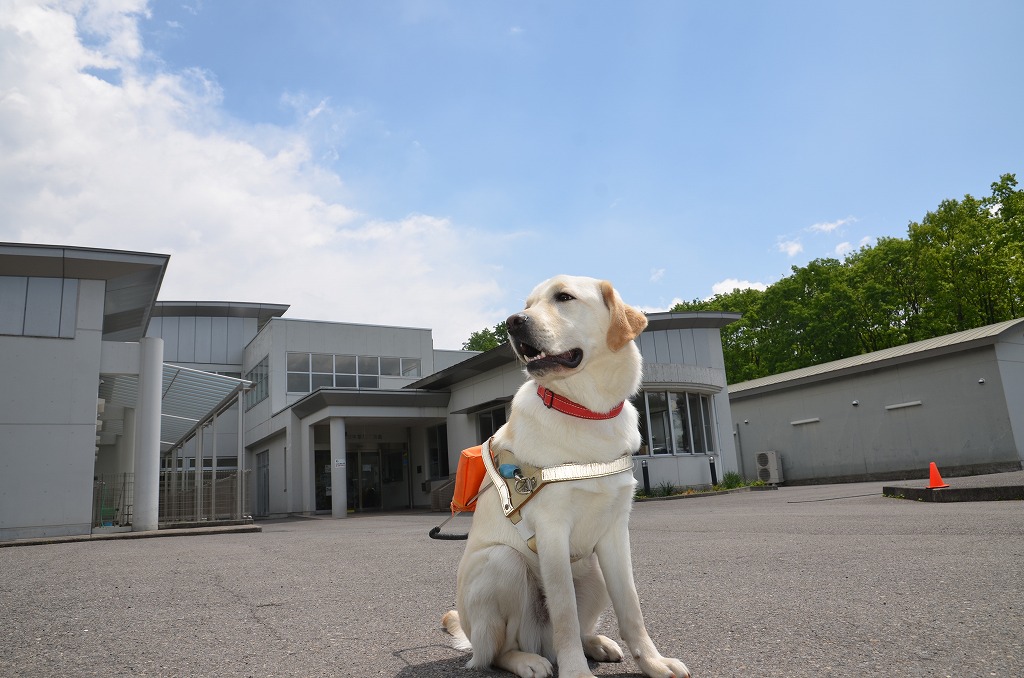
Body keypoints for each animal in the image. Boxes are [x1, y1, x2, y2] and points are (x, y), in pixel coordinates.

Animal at [440, 278, 688, 678]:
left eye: (564, 297)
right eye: (527, 305)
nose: (513, 321)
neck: (587, 412)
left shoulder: (615, 531)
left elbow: (631, 607)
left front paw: (653, 662)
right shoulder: (552, 529)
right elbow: (564, 614)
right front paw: (576, 672)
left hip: (593, 568)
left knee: (570, 631)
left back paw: (596, 643)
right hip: (501, 563)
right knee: (498, 652)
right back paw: (528, 661)